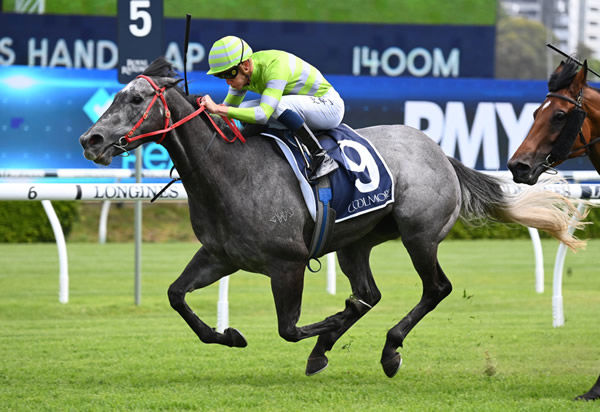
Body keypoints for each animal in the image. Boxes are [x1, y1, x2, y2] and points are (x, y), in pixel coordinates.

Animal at [79, 57, 584, 380]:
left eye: (137, 98)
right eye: (118, 95)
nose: (91, 140)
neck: (231, 173)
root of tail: (440, 151)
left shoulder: (286, 263)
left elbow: (289, 329)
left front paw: (328, 324)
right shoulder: (220, 256)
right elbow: (176, 296)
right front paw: (231, 335)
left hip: (419, 235)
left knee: (434, 289)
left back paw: (389, 351)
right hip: (356, 242)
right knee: (371, 293)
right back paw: (334, 345)